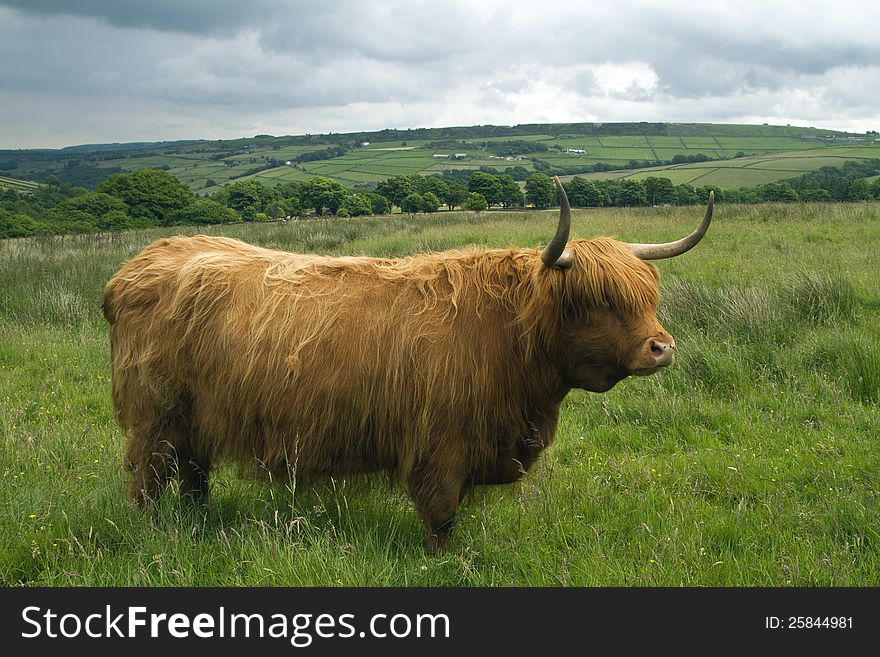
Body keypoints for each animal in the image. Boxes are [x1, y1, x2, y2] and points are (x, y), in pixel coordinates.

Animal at [103, 177, 712, 552]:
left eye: (648, 295)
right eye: (594, 300)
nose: (661, 347)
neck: (509, 339)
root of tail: (138, 266)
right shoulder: (439, 445)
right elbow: (440, 514)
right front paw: (442, 559)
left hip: (197, 419)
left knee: (193, 473)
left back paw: (198, 523)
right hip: (156, 416)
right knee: (147, 479)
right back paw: (153, 534)